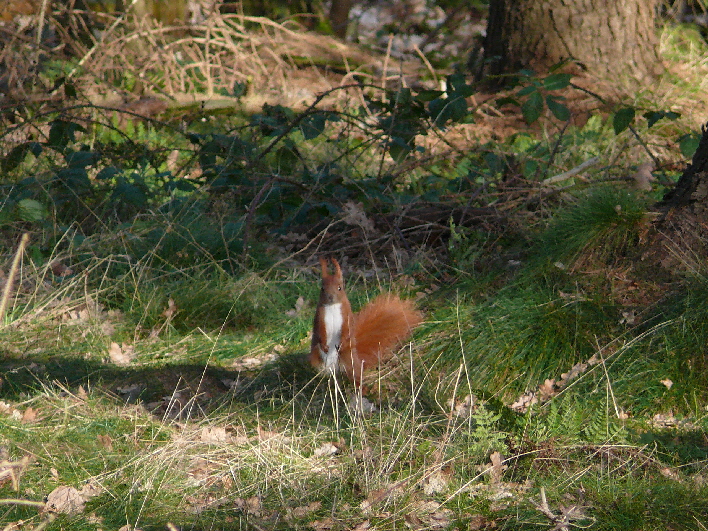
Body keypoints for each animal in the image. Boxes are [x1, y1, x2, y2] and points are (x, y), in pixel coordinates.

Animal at [309, 257, 423, 386]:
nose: (330, 297)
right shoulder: (320, 316)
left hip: (350, 360)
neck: (333, 306)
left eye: (339, 288)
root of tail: (334, 368)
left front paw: (342, 343)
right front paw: (324, 345)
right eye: (322, 288)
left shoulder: (346, 315)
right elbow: (320, 330)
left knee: (355, 375)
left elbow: (347, 329)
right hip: (315, 357)